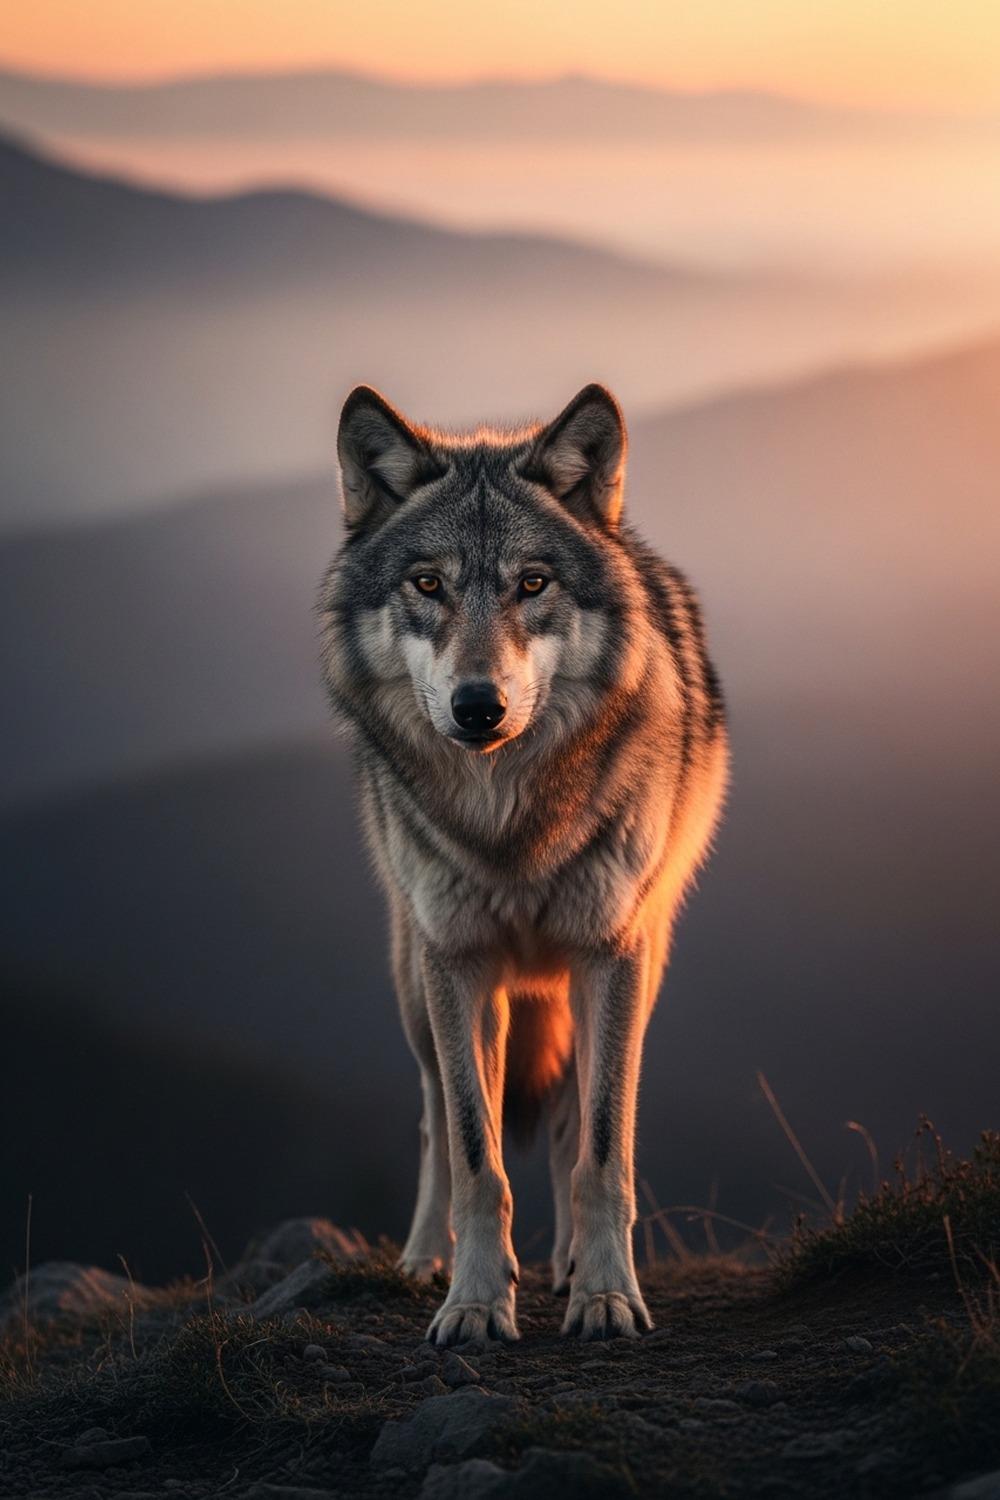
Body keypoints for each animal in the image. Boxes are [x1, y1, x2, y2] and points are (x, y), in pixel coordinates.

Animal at [319, 383, 727, 1344]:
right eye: (427, 584)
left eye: (532, 584)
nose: (479, 706)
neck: (511, 824)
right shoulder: (460, 964)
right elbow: (478, 1153)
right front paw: (473, 1301)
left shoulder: (610, 953)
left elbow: (603, 1146)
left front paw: (606, 1295)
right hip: (418, 983)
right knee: (437, 1116)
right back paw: (424, 1259)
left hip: (624, 969)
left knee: (576, 1116)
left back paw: (572, 1263)